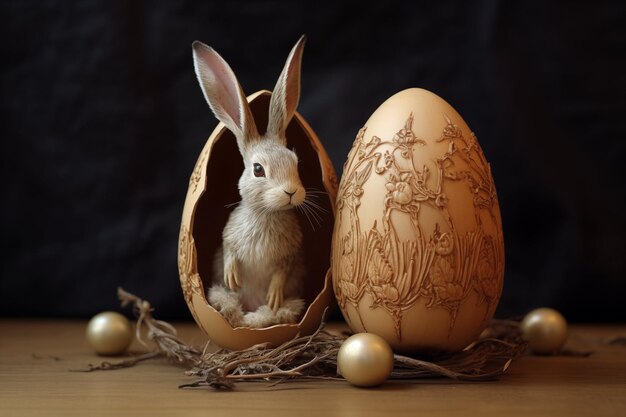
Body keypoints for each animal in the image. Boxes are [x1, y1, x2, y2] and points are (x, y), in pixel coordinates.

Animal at [190, 35, 308, 328]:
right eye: (257, 169)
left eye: (295, 162)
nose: (291, 192)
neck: (266, 213)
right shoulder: (229, 235)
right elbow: (230, 250)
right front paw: (232, 276)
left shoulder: (291, 254)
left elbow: (281, 272)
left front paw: (274, 296)